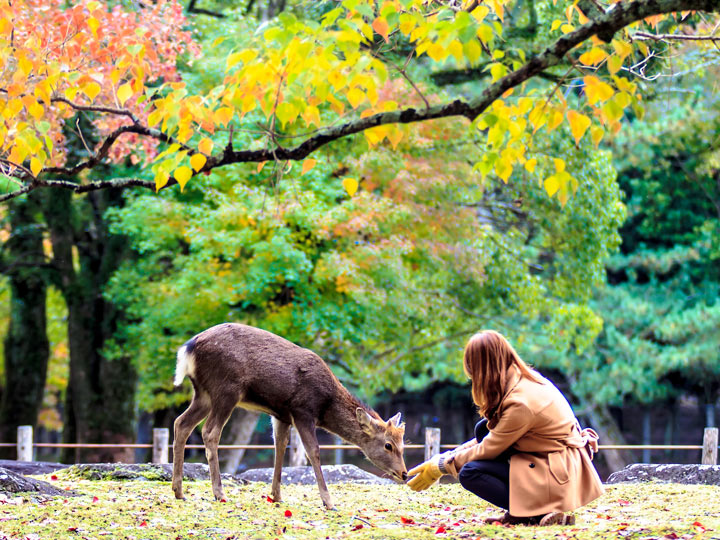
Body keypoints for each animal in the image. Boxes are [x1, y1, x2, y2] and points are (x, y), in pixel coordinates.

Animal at [169, 322, 404, 508]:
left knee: (181, 423)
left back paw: (179, 491)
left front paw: (277, 495)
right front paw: (328, 501)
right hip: (226, 390)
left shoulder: (281, 415)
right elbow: (313, 451)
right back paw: (219, 493)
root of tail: (188, 349)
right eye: (388, 445)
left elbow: (280, 447)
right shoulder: (302, 411)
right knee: (210, 432)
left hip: (203, 393)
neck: (326, 406)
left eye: (403, 445)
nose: (404, 474)